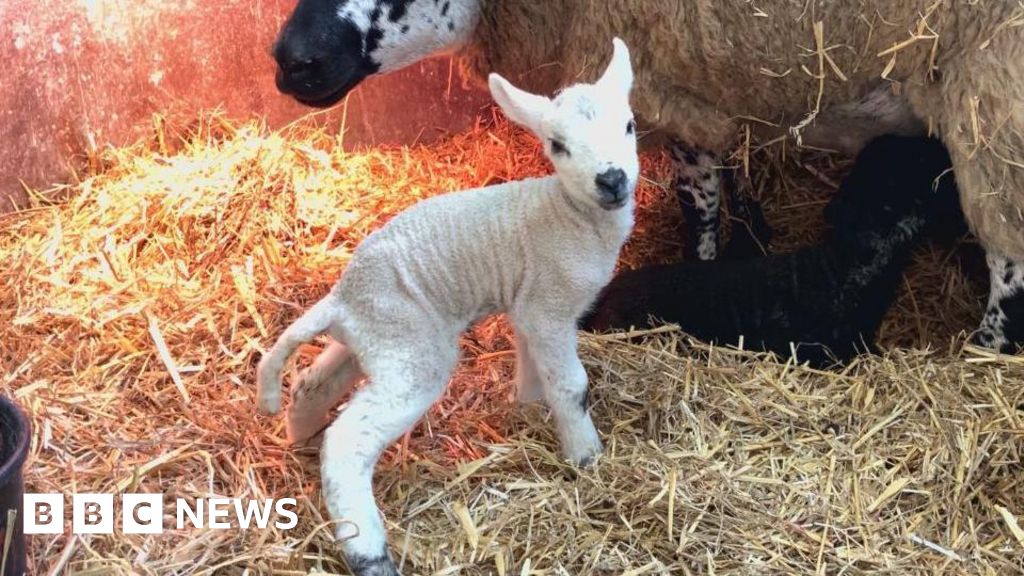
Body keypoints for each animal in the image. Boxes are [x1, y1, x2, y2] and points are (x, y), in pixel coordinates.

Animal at [256, 39, 638, 576]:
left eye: (628, 125)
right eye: (557, 145)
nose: (612, 180)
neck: (570, 215)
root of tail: (341, 297)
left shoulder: (528, 303)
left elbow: (532, 371)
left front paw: (526, 409)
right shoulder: (550, 306)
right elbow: (571, 386)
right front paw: (587, 457)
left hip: (382, 335)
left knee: (314, 382)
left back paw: (300, 440)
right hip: (414, 355)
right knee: (349, 441)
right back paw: (367, 550)